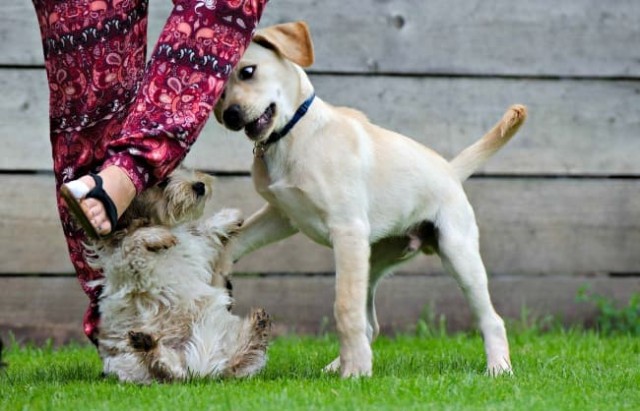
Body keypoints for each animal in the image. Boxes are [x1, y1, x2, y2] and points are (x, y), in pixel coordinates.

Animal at [215, 20, 524, 378]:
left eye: (248, 72)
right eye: (218, 93)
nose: (231, 116)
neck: (293, 135)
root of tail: (449, 169)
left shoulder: (346, 230)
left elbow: (343, 307)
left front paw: (356, 372)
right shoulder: (282, 215)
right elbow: (235, 239)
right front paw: (219, 271)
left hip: (457, 253)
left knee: (491, 319)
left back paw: (498, 367)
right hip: (372, 261)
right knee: (370, 324)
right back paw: (336, 365)